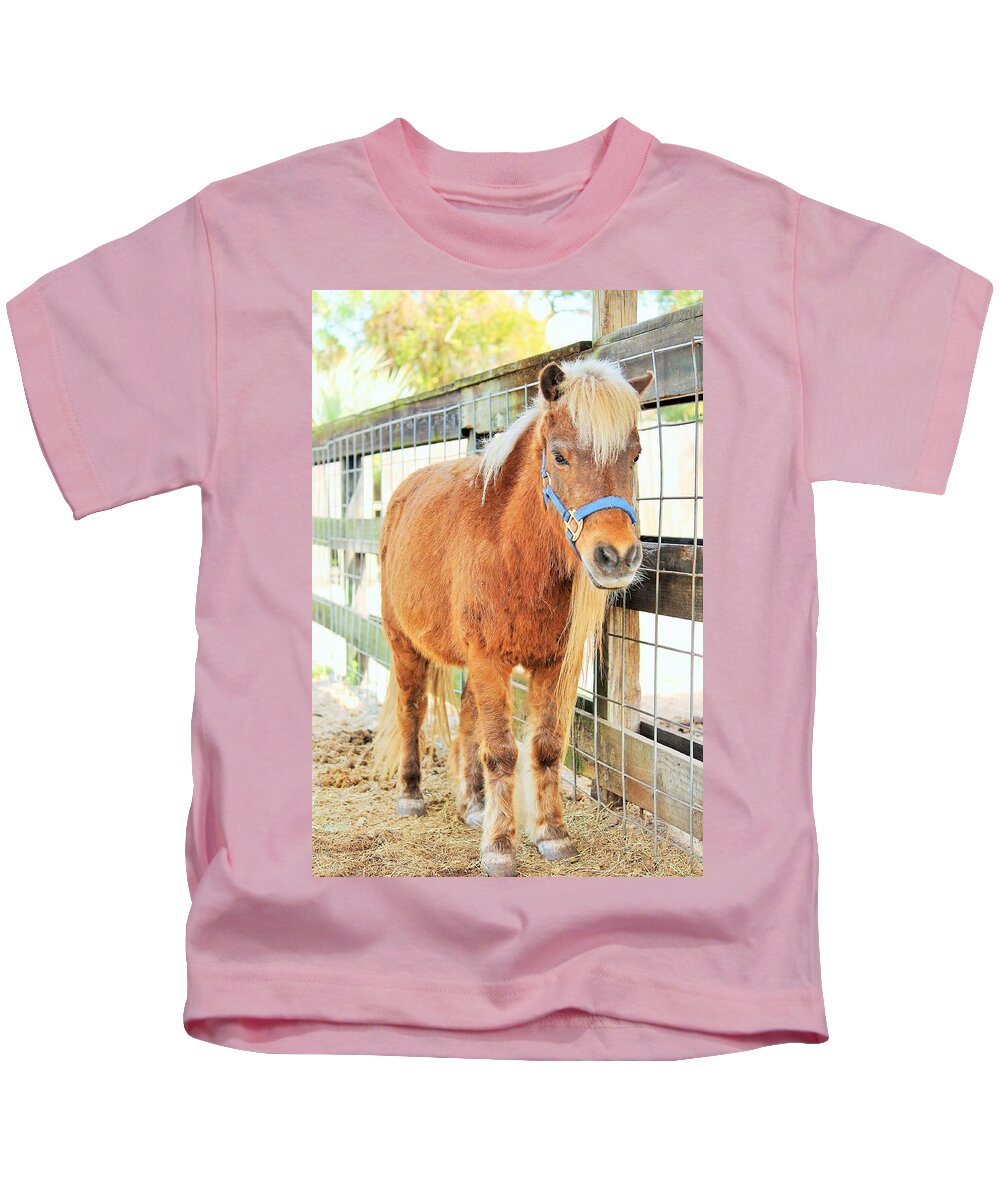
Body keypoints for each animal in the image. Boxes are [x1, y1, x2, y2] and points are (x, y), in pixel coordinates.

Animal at [373, 357, 652, 876]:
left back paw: (472, 804)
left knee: (466, 719)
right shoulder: (489, 659)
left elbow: (544, 747)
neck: (513, 551)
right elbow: (502, 751)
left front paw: (552, 834)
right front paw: (500, 847)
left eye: (636, 456)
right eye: (559, 457)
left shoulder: (551, 665)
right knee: (412, 710)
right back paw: (411, 794)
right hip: (404, 643)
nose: (617, 557)